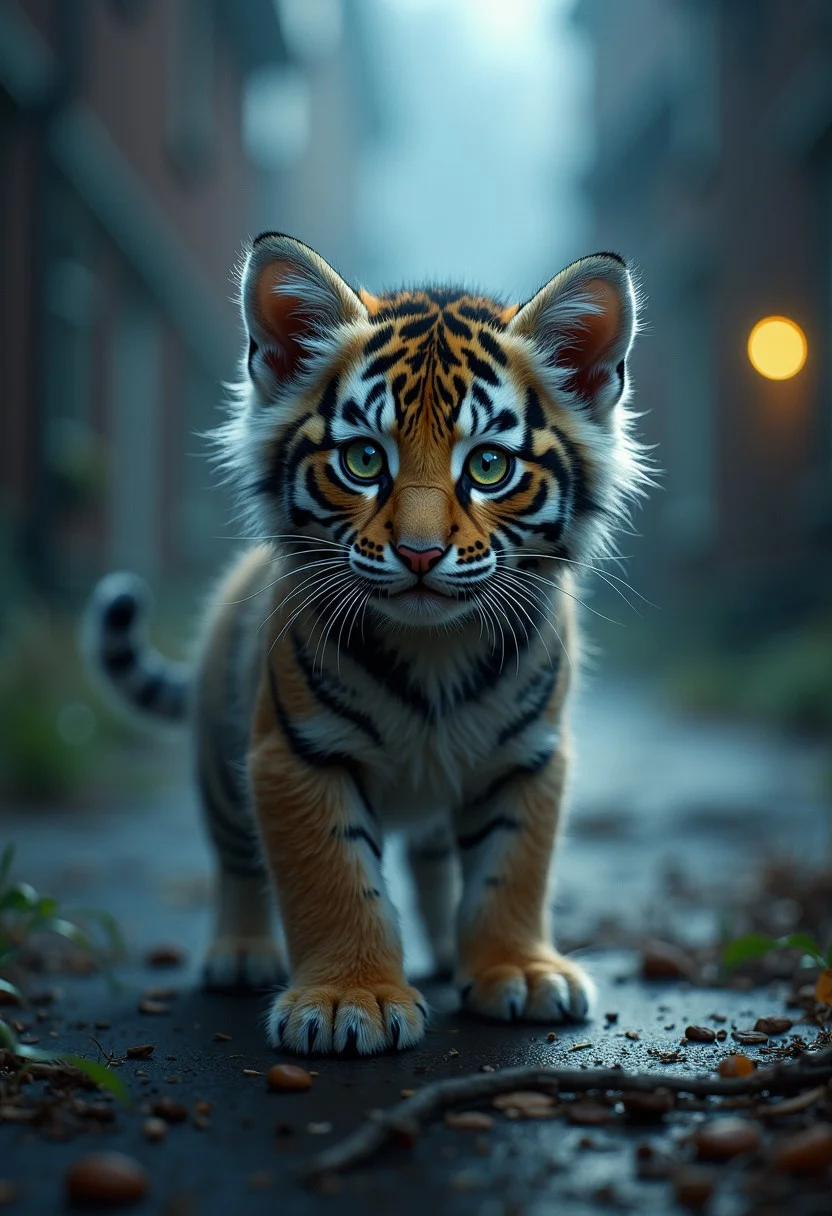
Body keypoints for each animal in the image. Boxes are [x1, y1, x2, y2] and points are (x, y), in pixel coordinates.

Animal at [85, 232, 648, 1056]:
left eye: (488, 466)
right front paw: (350, 1000)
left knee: (436, 858)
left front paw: (517, 972)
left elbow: (511, 869)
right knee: (236, 858)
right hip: (220, 759)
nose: (419, 553)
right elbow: (335, 877)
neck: (435, 649)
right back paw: (240, 954)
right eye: (363, 461)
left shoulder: (526, 756)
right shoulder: (298, 752)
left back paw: (446, 952)